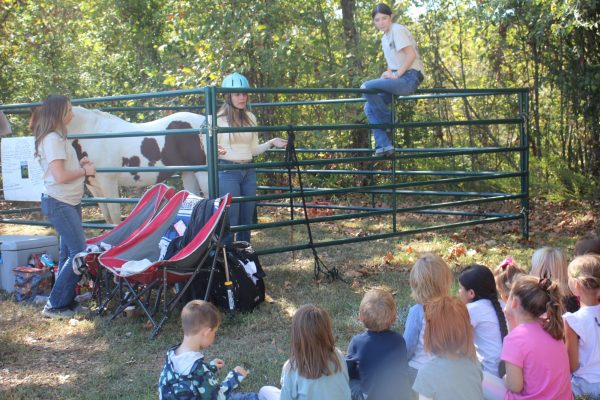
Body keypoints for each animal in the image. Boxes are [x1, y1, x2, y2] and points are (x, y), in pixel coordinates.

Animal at [34, 106, 211, 225]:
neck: (92, 135)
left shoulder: (109, 183)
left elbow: (115, 216)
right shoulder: (94, 187)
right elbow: (107, 217)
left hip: (202, 172)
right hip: (189, 172)